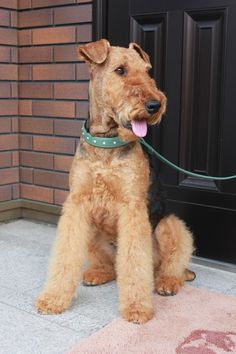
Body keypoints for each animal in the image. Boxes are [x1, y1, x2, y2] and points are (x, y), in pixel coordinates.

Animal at [35, 38, 195, 324]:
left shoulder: (133, 207)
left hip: (169, 225)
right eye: (120, 70)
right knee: (112, 266)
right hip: (93, 230)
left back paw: (167, 282)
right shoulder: (77, 204)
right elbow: (66, 254)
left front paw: (137, 308)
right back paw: (97, 273)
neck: (105, 143)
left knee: (168, 265)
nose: (155, 105)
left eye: (147, 71)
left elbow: (134, 261)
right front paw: (53, 299)